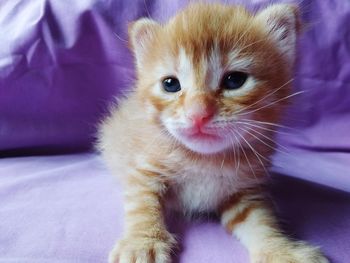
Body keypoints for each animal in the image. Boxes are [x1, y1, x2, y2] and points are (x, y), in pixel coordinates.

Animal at [98, 2, 328, 263]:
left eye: (235, 80)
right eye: (170, 84)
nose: (198, 114)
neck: (204, 160)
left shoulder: (245, 192)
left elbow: (260, 222)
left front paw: (279, 249)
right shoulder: (144, 170)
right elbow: (142, 204)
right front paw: (142, 242)